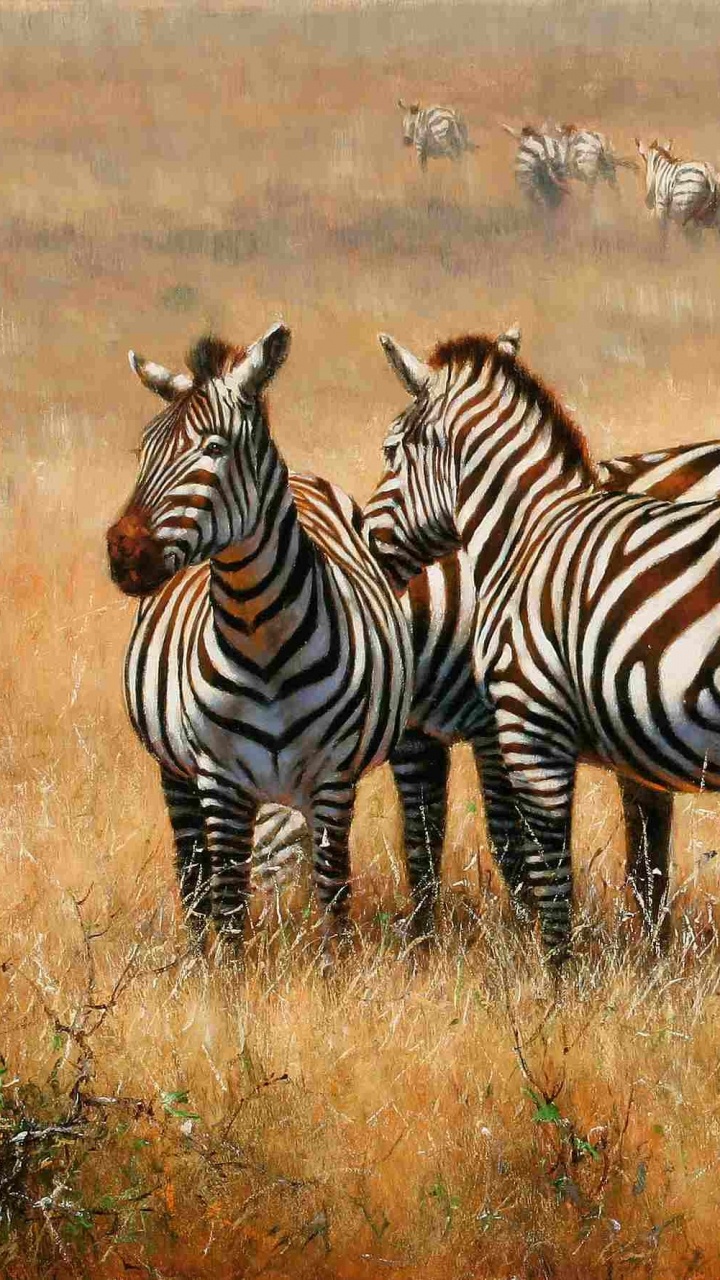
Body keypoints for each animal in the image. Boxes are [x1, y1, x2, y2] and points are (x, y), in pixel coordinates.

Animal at [105, 324, 413, 961]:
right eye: (144, 452)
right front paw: (226, 976)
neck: (259, 637)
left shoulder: (332, 777)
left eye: (213, 449)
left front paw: (333, 971)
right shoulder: (218, 777)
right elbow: (226, 900)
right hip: (178, 774)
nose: (123, 553)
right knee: (193, 871)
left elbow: (332, 892)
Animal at [364, 325, 720, 961]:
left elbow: (536, 864)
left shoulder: (521, 723)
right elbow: (638, 864)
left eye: (388, 452)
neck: (526, 535)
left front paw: (549, 974)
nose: (365, 540)